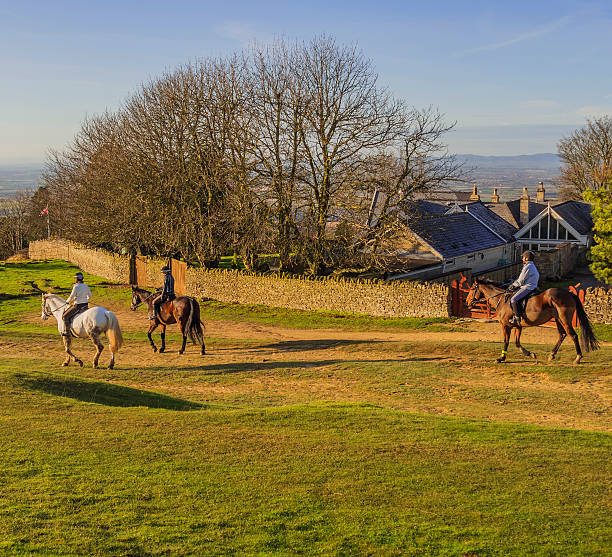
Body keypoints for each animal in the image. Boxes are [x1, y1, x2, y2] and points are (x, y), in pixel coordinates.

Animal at [466, 278, 600, 364]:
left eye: (472, 288)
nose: (467, 302)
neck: (502, 300)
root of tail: (570, 294)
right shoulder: (518, 326)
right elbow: (517, 343)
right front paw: (530, 354)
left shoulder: (506, 325)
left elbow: (506, 341)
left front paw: (501, 358)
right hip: (558, 319)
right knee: (562, 334)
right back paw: (552, 354)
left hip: (565, 319)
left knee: (573, 335)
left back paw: (578, 358)